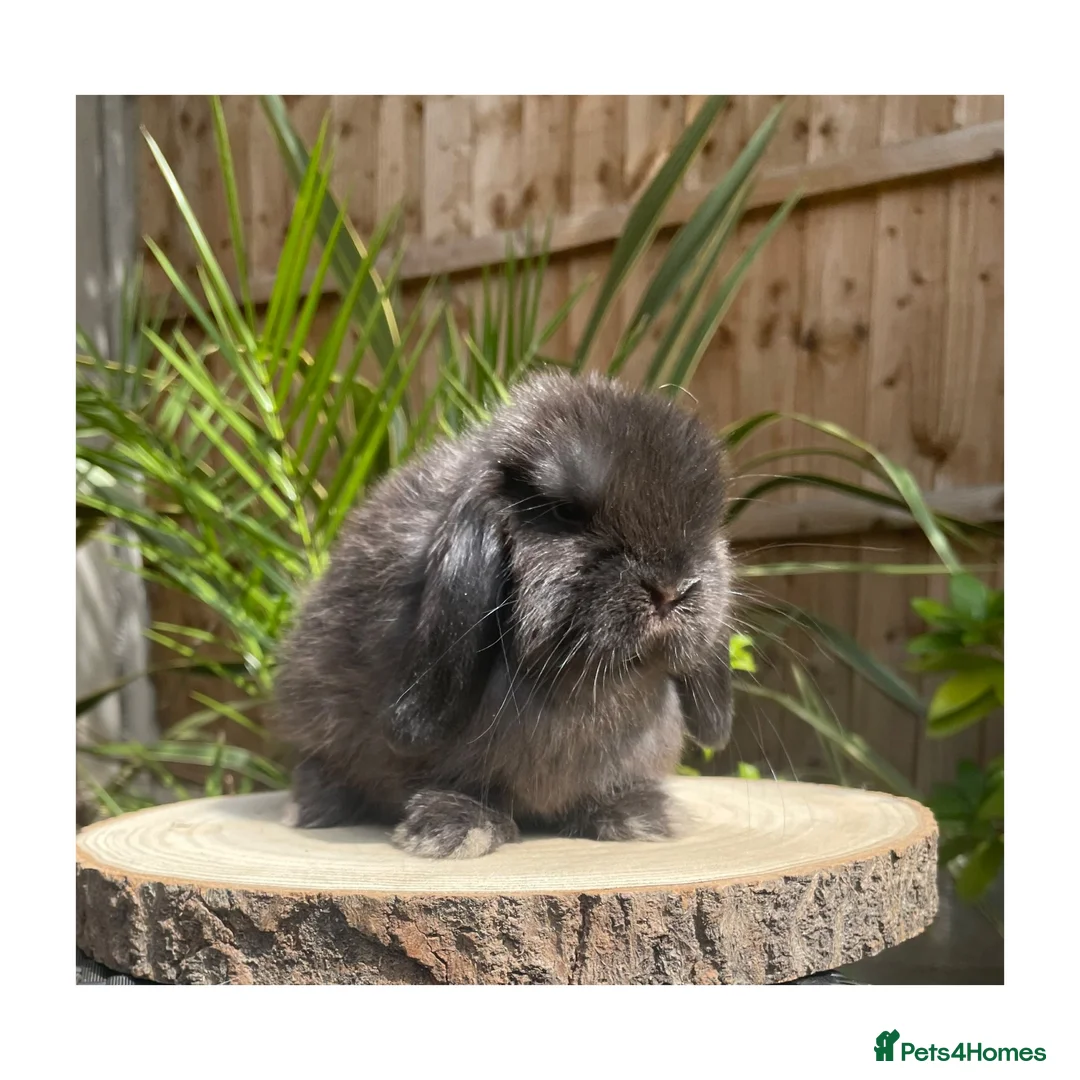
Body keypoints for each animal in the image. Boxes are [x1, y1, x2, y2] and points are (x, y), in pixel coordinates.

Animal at [272, 370, 735, 859]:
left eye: (707, 522)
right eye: (566, 513)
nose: (672, 589)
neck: (589, 681)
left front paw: (636, 815)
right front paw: (455, 829)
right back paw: (313, 809)